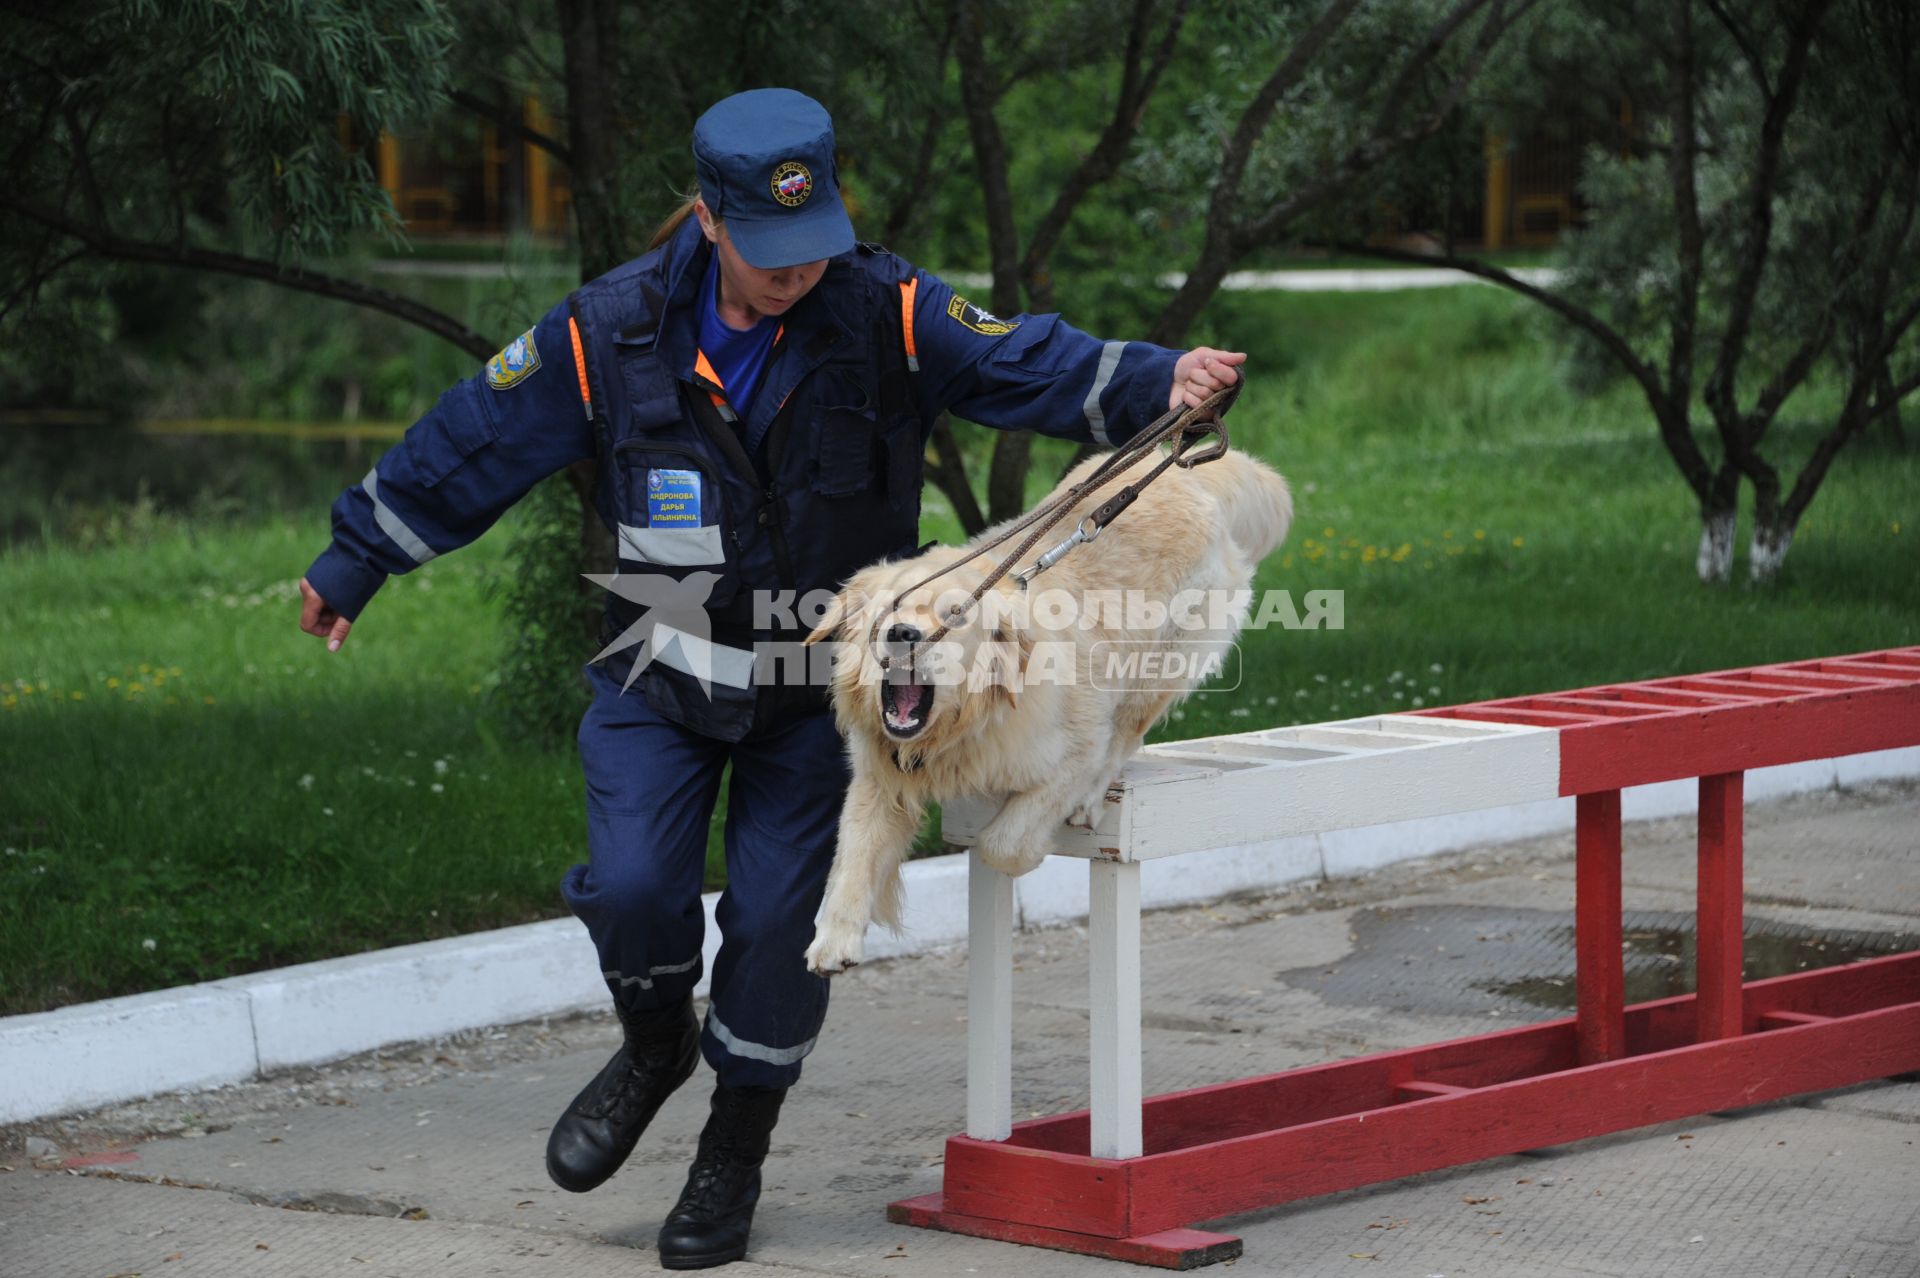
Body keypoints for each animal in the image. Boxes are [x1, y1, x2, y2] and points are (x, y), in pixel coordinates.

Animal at [794, 443, 1290, 970]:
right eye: (891, 606)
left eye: (956, 614)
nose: (903, 633)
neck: (962, 725)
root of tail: (1179, 467)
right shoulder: (878, 776)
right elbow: (854, 855)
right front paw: (835, 940)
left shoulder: (1075, 748)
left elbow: (1002, 842)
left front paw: (1032, 850)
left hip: (1158, 666)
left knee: (1126, 733)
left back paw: (1091, 799)